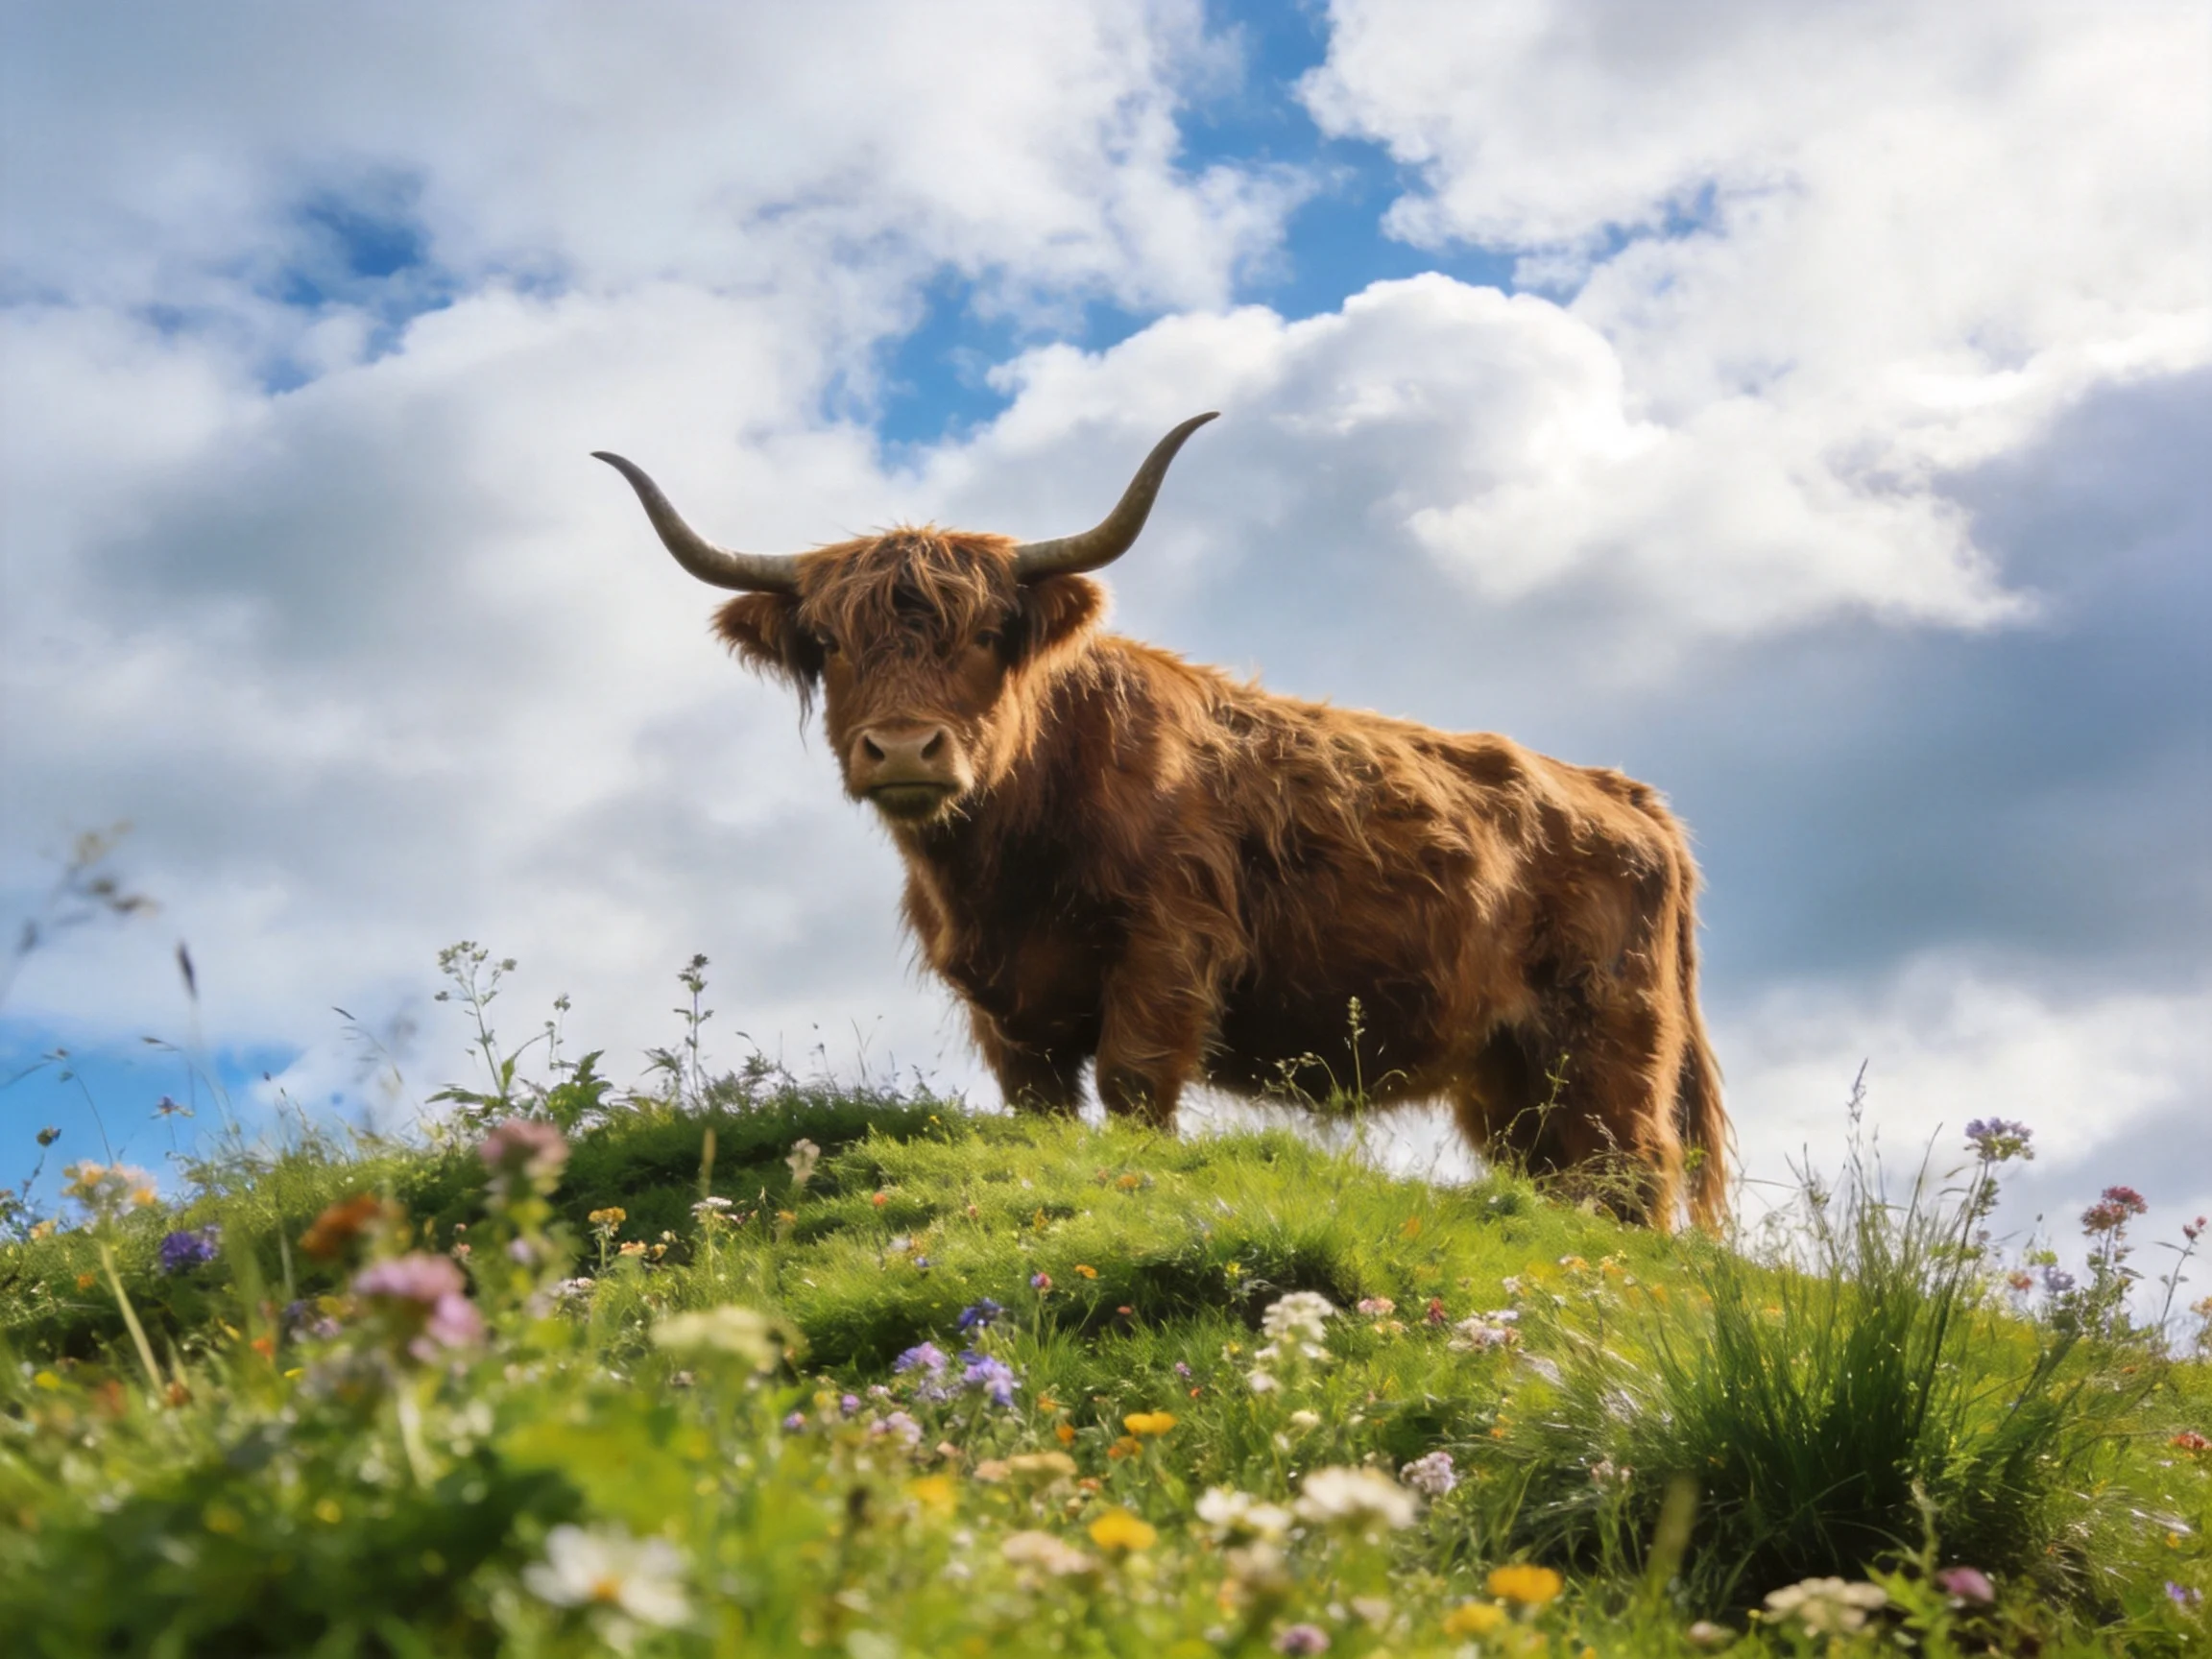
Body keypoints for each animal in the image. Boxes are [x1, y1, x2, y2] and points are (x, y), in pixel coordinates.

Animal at [594, 416, 1728, 1227]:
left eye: (991, 633)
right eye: (829, 642)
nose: (908, 750)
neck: (1004, 862)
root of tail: (1628, 798)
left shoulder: (1168, 949)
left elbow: (1137, 1090)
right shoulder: (1007, 1003)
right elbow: (1042, 1109)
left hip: (1608, 1044)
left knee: (1629, 1176)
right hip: (1507, 1077)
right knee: (1559, 1180)